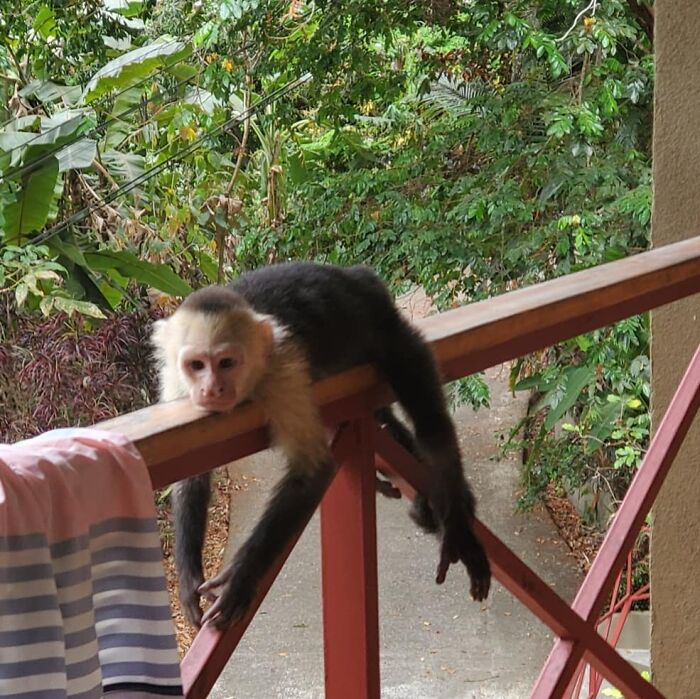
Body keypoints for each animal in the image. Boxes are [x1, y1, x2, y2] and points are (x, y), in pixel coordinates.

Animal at [151, 262, 491, 629]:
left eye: (226, 363)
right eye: (196, 365)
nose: (211, 390)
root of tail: (355, 275)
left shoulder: (282, 372)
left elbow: (312, 469)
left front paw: (243, 575)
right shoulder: (176, 384)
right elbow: (192, 475)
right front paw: (188, 578)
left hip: (386, 329)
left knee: (430, 420)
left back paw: (454, 510)